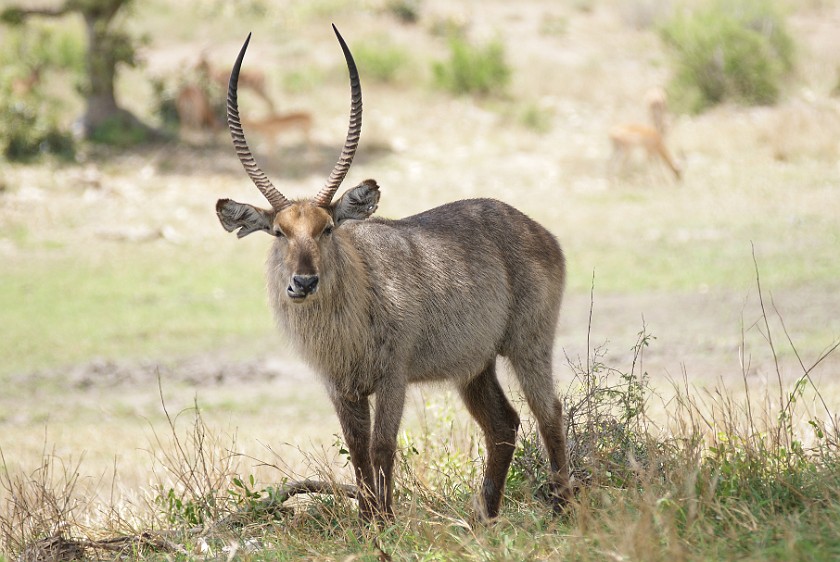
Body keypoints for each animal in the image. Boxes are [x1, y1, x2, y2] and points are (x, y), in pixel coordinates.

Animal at [213, 25, 576, 516]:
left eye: (327, 228)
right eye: (278, 232)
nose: (303, 282)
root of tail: (537, 229)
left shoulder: (393, 376)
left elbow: (382, 447)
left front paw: (386, 521)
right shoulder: (340, 386)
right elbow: (357, 451)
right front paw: (367, 519)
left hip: (529, 342)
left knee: (549, 413)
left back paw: (563, 507)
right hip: (475, 364)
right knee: (504, 424)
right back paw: (487, 516)